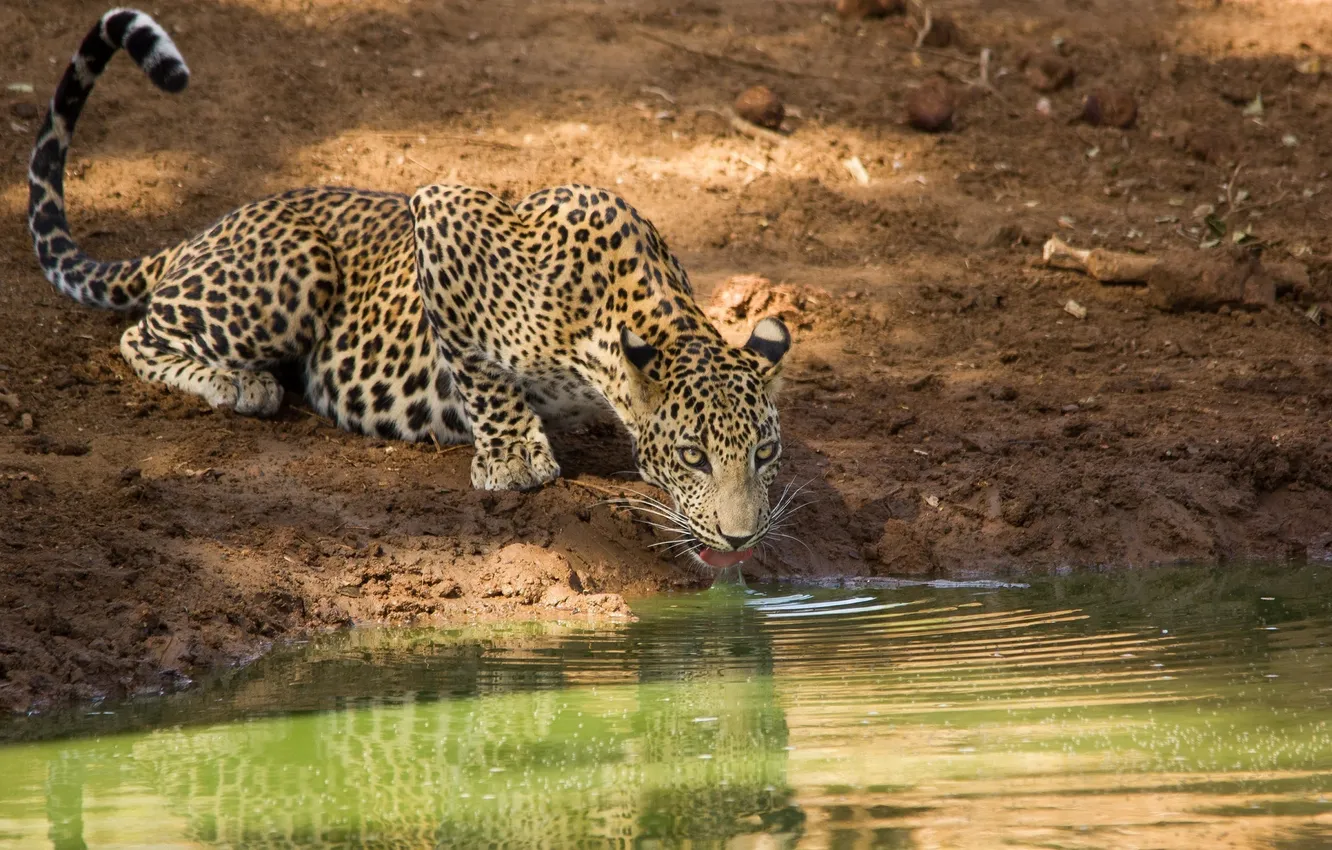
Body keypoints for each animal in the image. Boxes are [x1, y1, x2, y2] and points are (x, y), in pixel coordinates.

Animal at [28, 8, 794, 567]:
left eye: (764, 453)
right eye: (693, 456)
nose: (741, 538)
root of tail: (203, 232)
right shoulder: (442, 213)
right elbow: (482, 374)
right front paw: (514, 455)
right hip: (296, 268)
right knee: (139, 333)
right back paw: (238, 383)